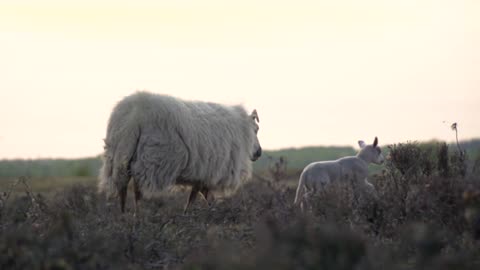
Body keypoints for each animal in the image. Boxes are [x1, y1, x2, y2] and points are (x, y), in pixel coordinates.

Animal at [98, 92, 262, 214]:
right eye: (256, 129)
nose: (259, 152)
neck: (243, 131)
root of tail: (134, 114)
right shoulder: (206, 171)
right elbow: (198, 196)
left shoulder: (202, 173)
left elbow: (198, 195)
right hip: (149, 159)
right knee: (137, 190)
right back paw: (137, 217)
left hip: (120, 155)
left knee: (123, 188)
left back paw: (125, 216)